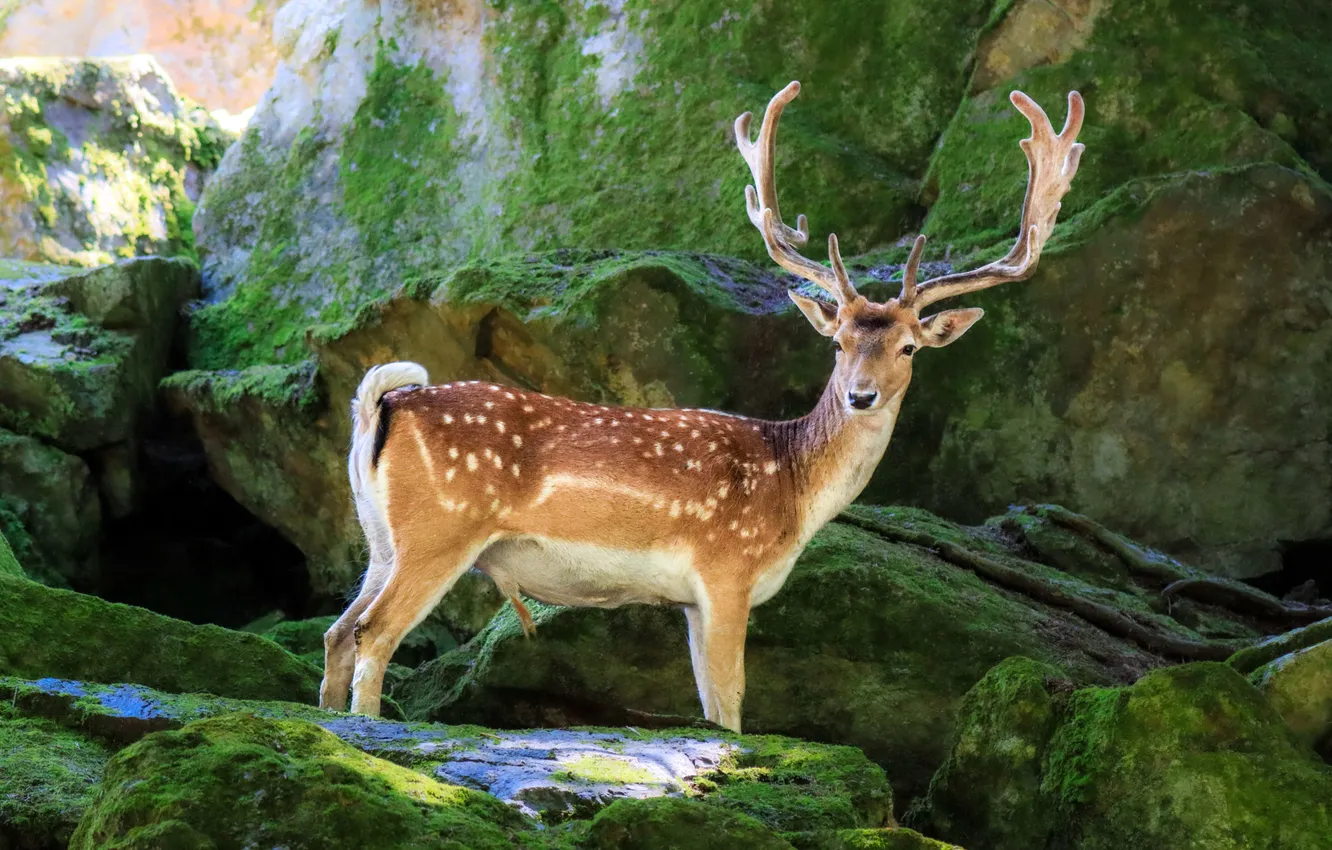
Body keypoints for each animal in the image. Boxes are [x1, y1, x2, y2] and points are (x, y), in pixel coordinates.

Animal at [320, 81, 1085, 730]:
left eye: (907, 347)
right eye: (838, 342)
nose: (860, 395)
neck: (791, 490)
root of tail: (380, 405)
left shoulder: (691, 596)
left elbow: (711, 702)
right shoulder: (724, 567)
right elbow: (729, 705)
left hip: (381, 537)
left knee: (336, 630)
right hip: (441, 529)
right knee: (373, 633)